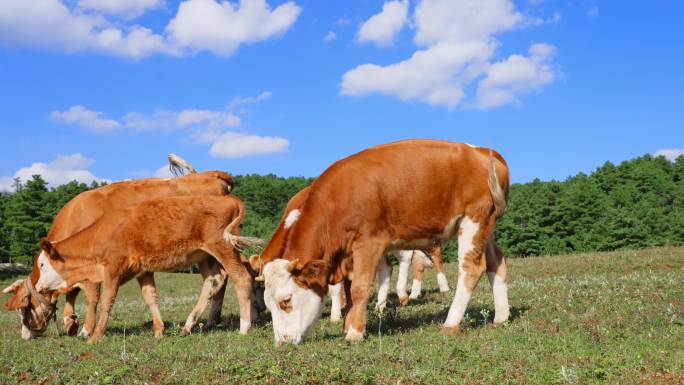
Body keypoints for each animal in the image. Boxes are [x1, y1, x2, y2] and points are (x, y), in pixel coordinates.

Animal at [30, 195, 256, 342]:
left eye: (42, 264)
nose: (39, 286)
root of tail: (229, 199)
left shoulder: (113, 269)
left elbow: (106, 302)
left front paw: (95, 336)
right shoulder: (143, 270)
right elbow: (150, 298)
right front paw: (159, 331)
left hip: (223, 247)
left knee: (241, 277)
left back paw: (244, 327)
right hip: (207, 255)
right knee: (214, 281)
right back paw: (187, 326)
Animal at [262, 140, 508, 344]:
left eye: (286, 300)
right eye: (267, 305)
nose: (281, 342)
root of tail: (481, 151)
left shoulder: (369, 241)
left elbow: (359, 287)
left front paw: (355, 332)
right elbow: (349, 290)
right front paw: (347, 324)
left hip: (473, 219)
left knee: (471, 268)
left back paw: (451, 322)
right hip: (486, 223)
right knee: (497, 262)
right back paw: (501, 317)